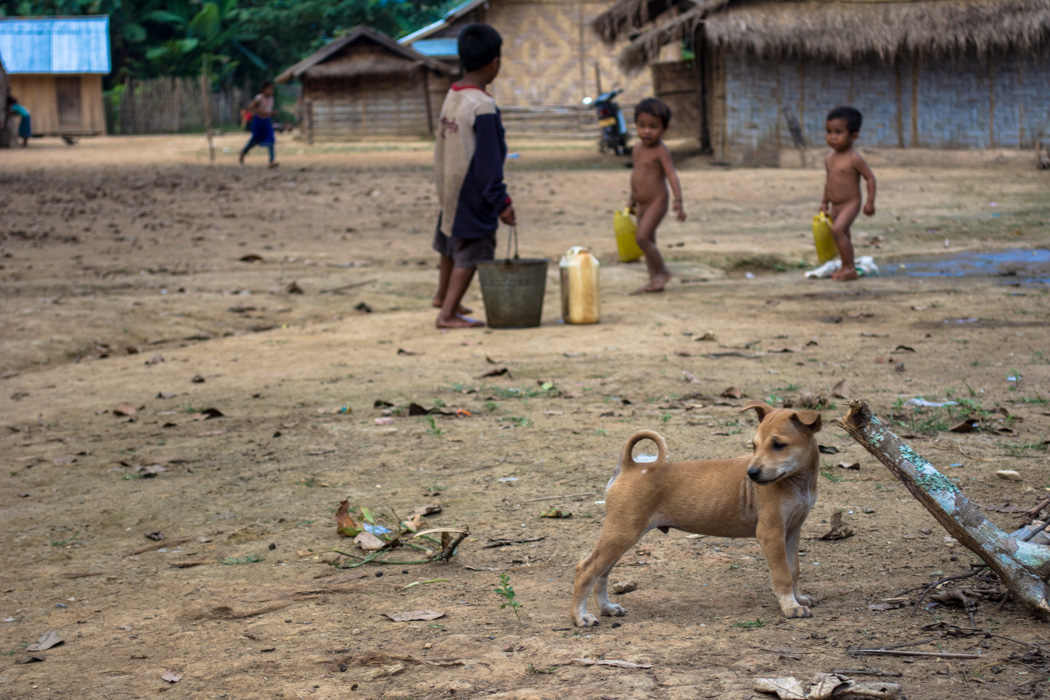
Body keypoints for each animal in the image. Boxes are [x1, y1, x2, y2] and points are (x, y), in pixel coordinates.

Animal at [571, 402, 823, 625]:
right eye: (754, 445)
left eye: (779, 444)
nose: (751, 473)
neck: (797, 482)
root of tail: (631, 466)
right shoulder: (771, 533)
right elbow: (782, 575)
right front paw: (790, 607)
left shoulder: (792, 532)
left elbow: (793, 569)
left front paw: (798, 599)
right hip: (622, 532)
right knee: (586, 569)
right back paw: (580, 616)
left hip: (620, 535)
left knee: (602, 572)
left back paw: (607, 608)